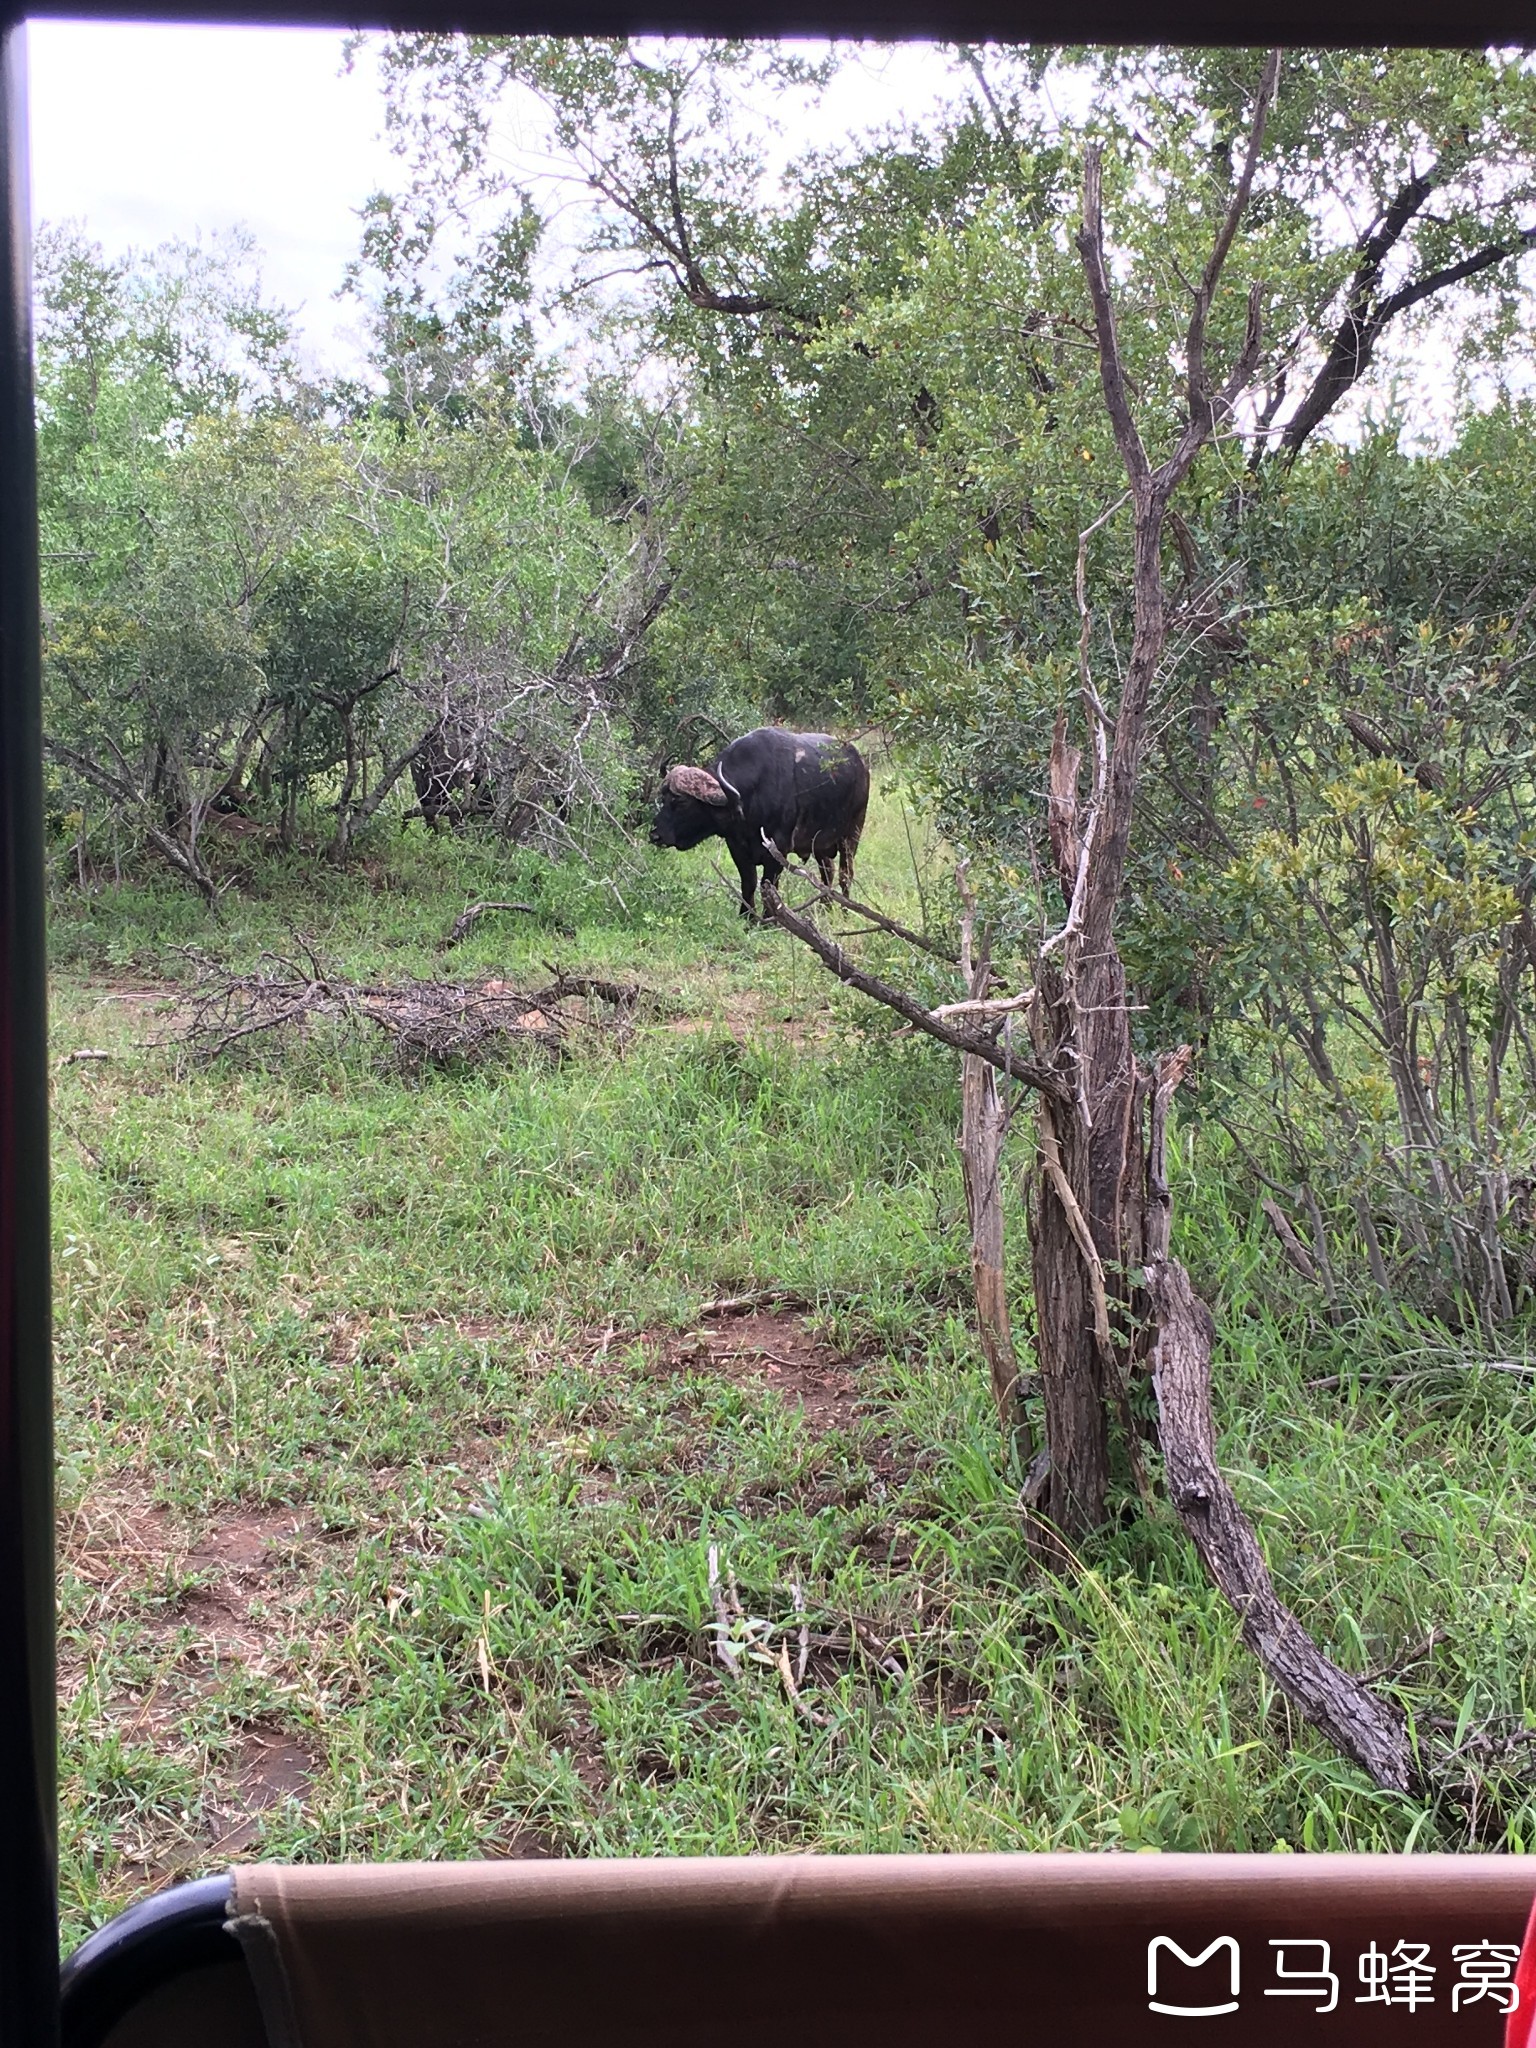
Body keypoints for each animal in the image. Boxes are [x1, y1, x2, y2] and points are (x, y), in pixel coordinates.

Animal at [647, 720, 868, 913]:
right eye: (663, 798)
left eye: (681, 802)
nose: (655, 835)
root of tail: (861, 764)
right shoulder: (737, 847)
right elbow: (749, 883)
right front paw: (747, 917)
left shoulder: (778, 850)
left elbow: (768, 886)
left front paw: (768, 919)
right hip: (820, 844)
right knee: (827, 872)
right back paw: (825, 909)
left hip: (852, 834)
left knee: (845, 874)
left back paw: (846, 911)